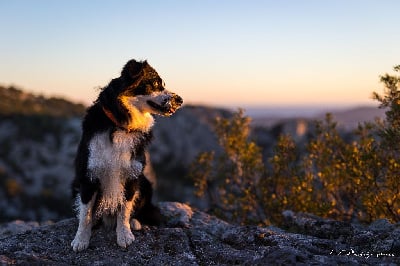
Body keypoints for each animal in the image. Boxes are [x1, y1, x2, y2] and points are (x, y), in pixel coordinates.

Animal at [71, 58, 184, 251]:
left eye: (163, 84)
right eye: (155, 84)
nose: (180, 100)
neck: (121, 125)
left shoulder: (132, 174)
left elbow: (124, 209)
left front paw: (124, 235)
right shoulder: (87, 176)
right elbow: (85, 213)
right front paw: (81, 240)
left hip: (145, 183)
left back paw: (135, 222)